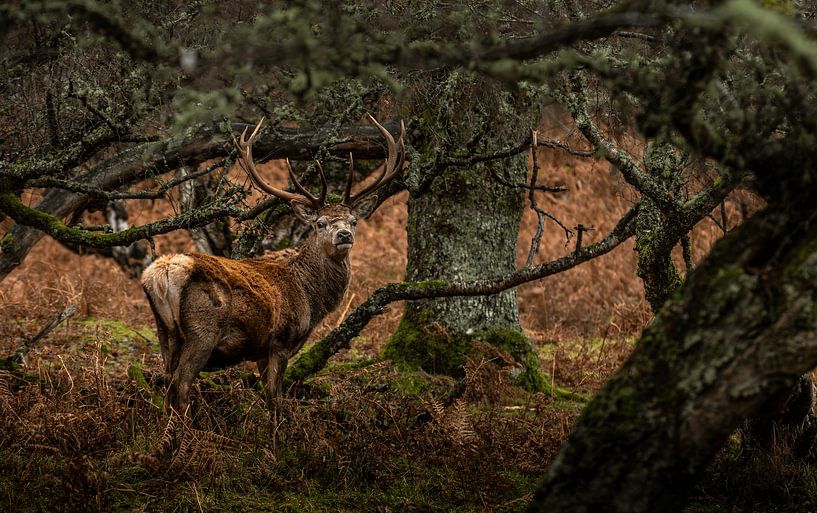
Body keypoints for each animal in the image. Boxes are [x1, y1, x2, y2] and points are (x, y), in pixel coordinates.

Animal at [140, 115, 405, 414]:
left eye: (353, 221)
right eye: (320, 223)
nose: (344, 235)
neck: (310, 297)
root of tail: (162, 273)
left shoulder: (261, 351)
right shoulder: (281, 340)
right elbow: (275, 399)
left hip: (164, 330)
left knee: (166, 381)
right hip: (202, 331)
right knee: (181, 383)